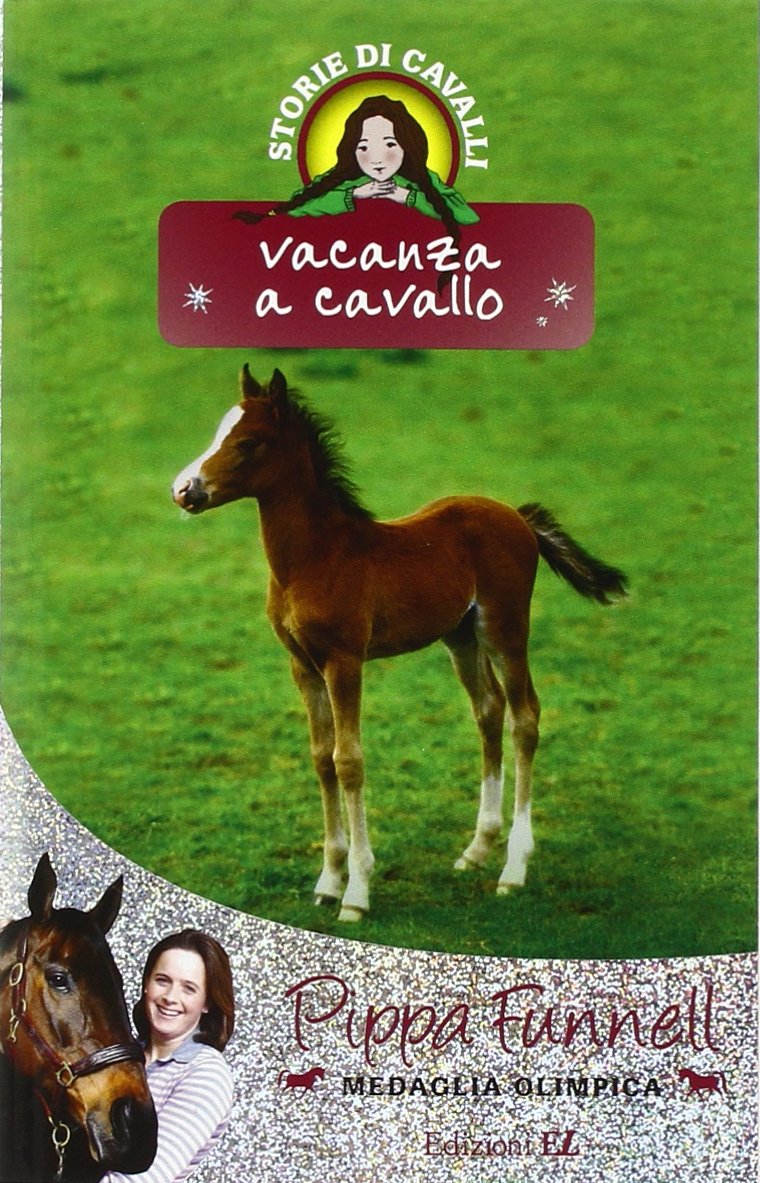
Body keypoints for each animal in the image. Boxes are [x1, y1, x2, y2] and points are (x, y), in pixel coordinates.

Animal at [172, 366, 627, 922]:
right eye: (220, 431)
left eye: (247, 442)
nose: (183, 490)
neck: (315, 559)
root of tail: (518, 517)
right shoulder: (302, 665)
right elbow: (321, 758)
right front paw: (328, 880)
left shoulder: (345, 660)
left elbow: (349, 761)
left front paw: (357, 893)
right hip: (460, 636)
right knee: (489, 710)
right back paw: (477, 849)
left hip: (505, 629)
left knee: (525, 717)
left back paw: (513, 868)